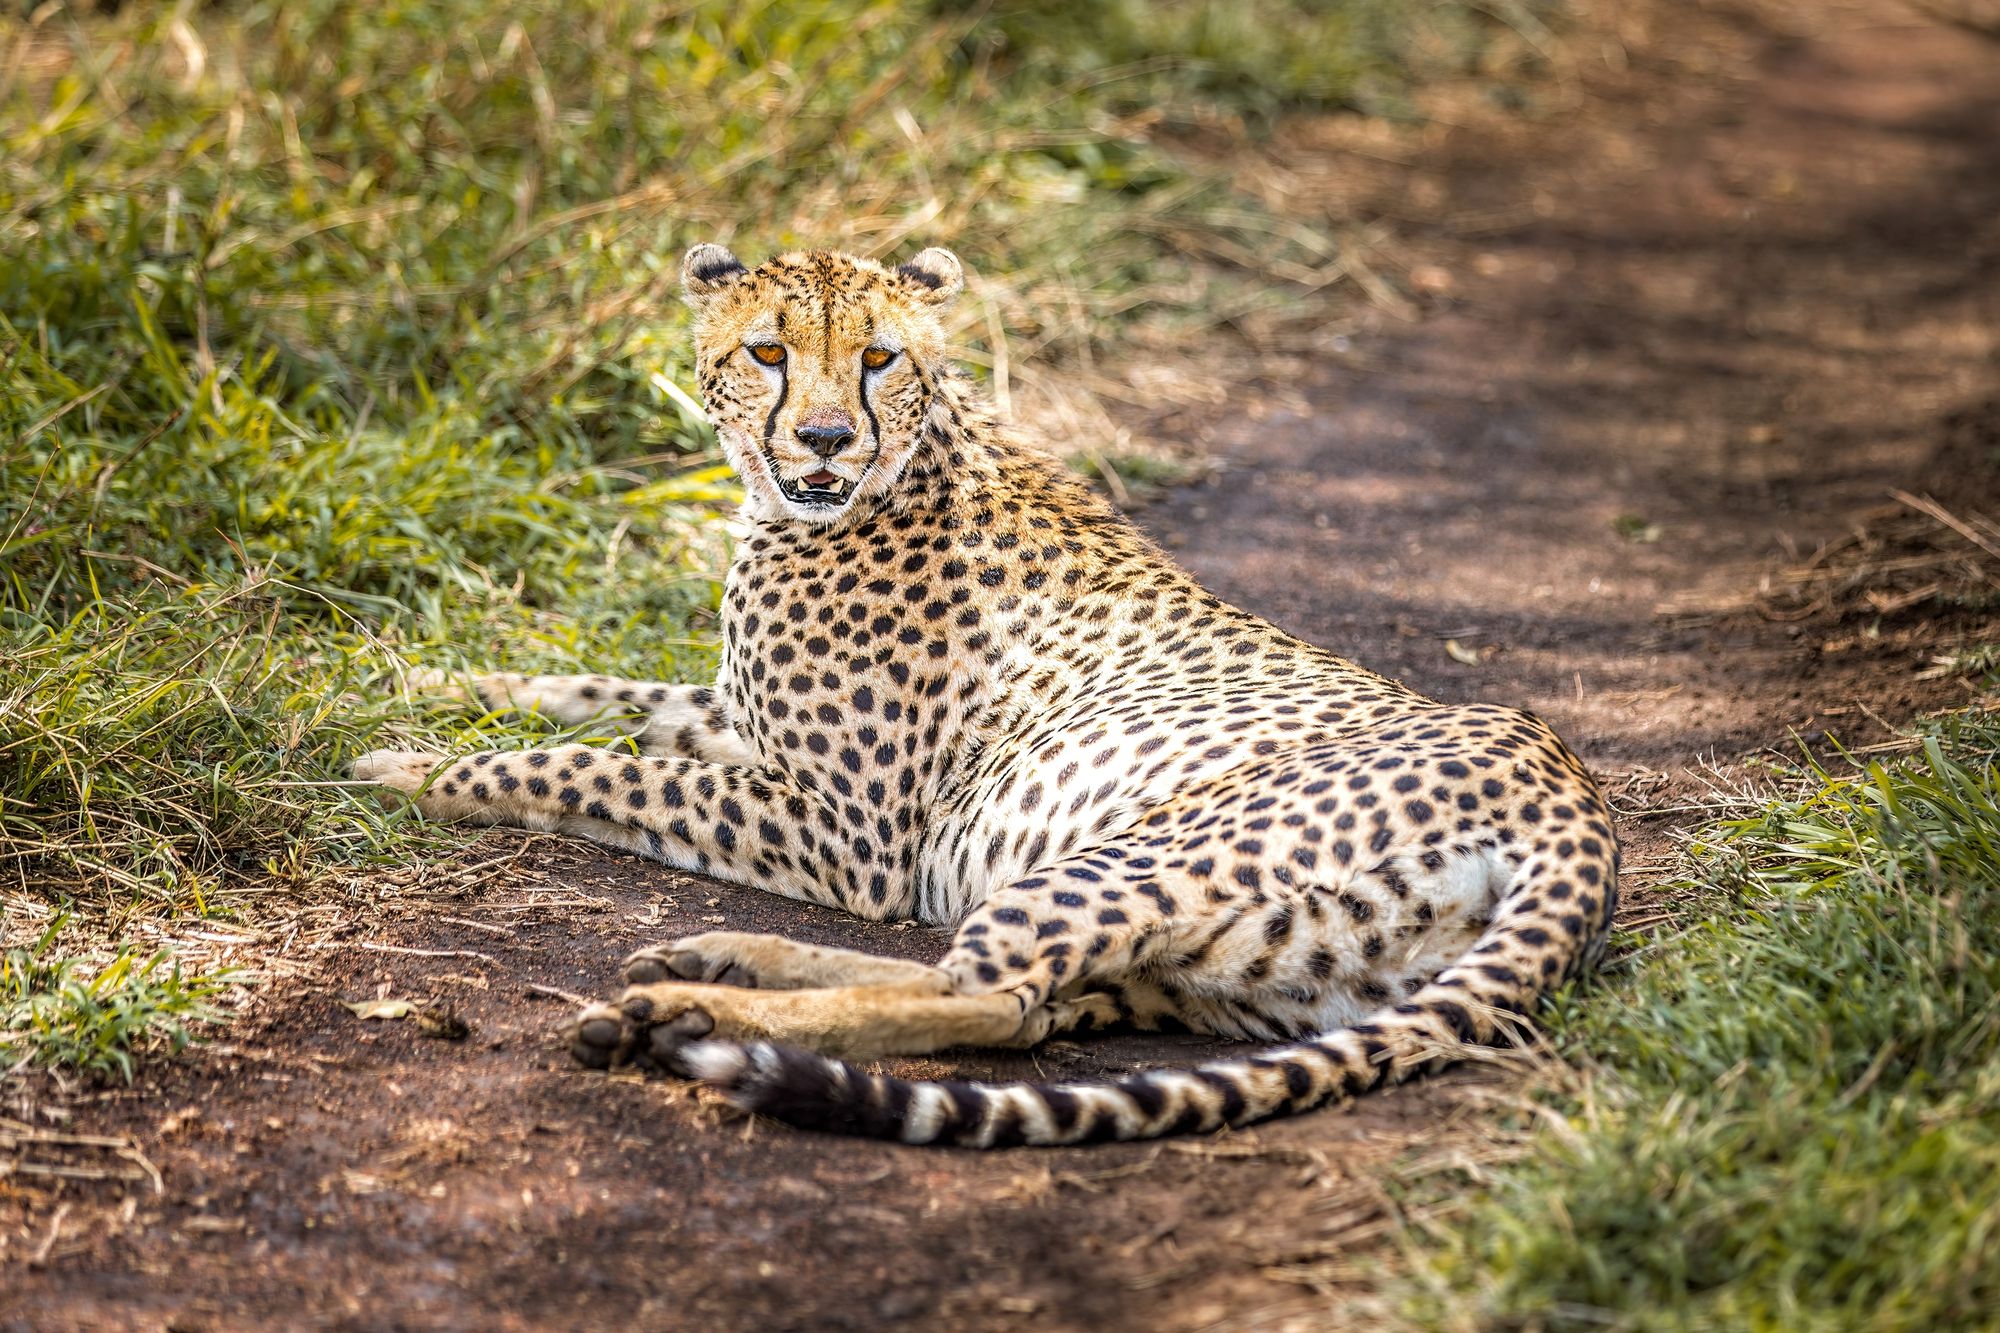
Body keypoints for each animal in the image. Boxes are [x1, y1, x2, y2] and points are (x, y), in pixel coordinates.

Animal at [355, 243, 1618, 1148]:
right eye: (767, 352)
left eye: (877, 357)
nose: (824, 438)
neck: (896, 469)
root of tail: (1576, 802)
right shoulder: (740, 726)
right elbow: (591, 696)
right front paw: (410, 684)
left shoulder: (850, 841)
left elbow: (589, 763)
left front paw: (411, 770)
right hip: (1232, 974)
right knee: (1015, 996)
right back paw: (716, 967)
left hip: (1140, 849)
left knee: (989, 994)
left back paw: (687, 1012)